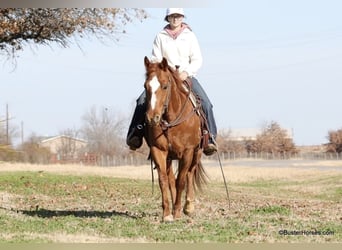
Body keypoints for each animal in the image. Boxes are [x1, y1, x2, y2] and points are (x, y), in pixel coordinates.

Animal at [143, 55, 207, 222]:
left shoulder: (187, 152)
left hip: (196, 153)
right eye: (145, 86)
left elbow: (181, 181)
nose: (152, 118)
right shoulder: (158, 151)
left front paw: (177, 212)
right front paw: (167, 213)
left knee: (190, 174)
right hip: (170, 157)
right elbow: (164, 180)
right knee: (171, 178)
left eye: (165, 86)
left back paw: (188, 206)